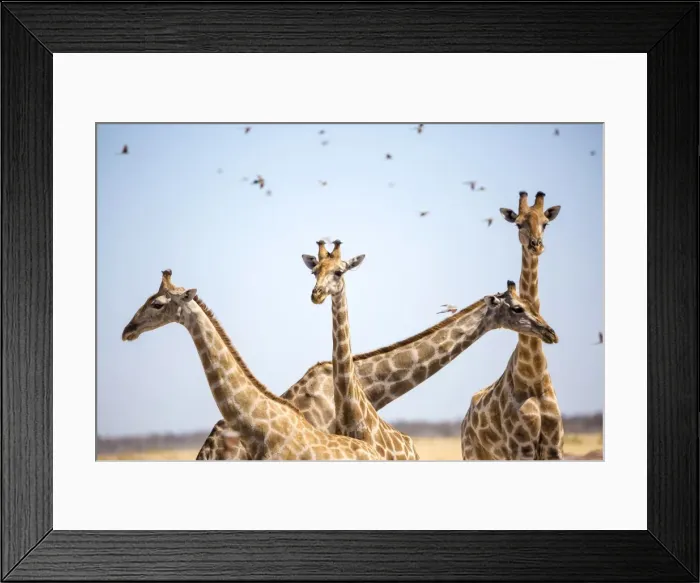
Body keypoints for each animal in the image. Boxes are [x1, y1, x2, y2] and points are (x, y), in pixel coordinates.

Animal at [461, 191, 563, 460]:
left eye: (545, 223)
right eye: (518, 224)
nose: (536, 245)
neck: (534, 377)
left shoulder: (555, 447)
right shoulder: (520, 448)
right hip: (473, 454)